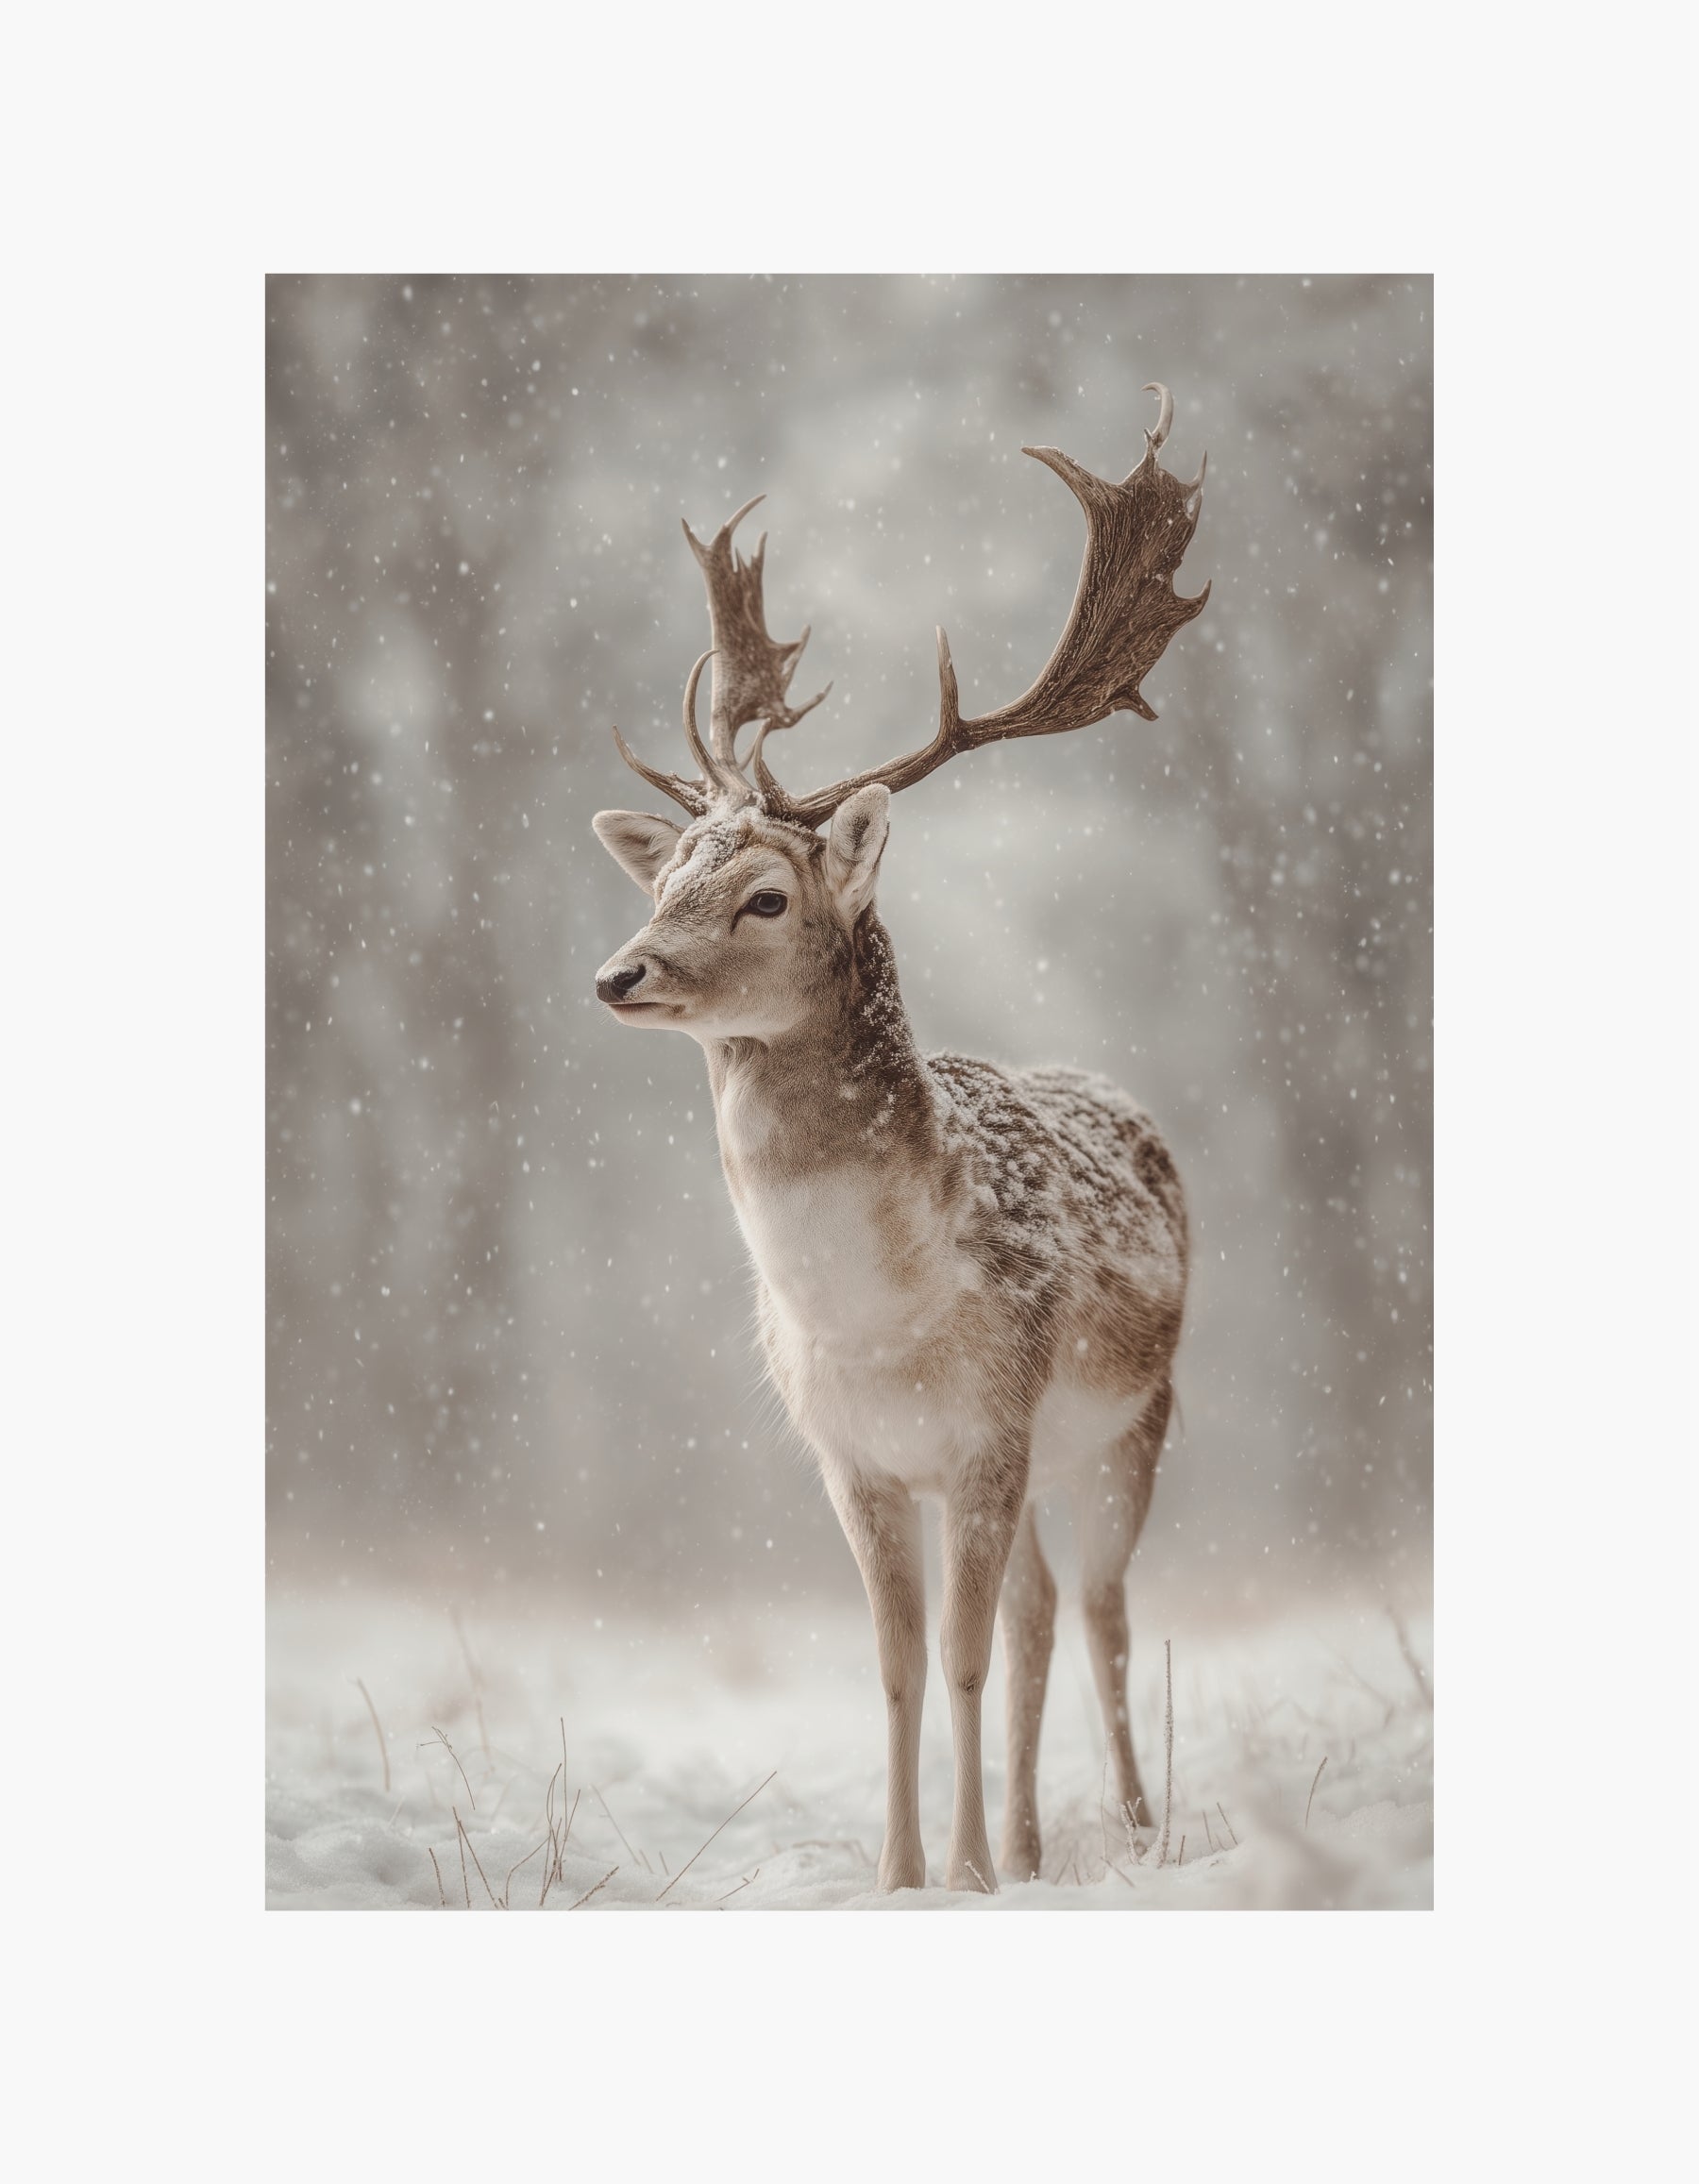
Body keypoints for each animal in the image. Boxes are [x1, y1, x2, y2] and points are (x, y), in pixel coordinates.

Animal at [590, 384, 1208, 1893]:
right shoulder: (853, 1455)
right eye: (668, 872)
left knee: (1099, 1608)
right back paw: (1040, 1844)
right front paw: (904, 1874)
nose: (620, 974)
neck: (879, 1319)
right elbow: (898, 1667)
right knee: (1044, 1611)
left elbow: (969, 1659)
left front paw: (966, 1875)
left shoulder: (990, 1430)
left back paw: (1133, 1827)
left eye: (764, 894)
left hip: (1133, 1418)